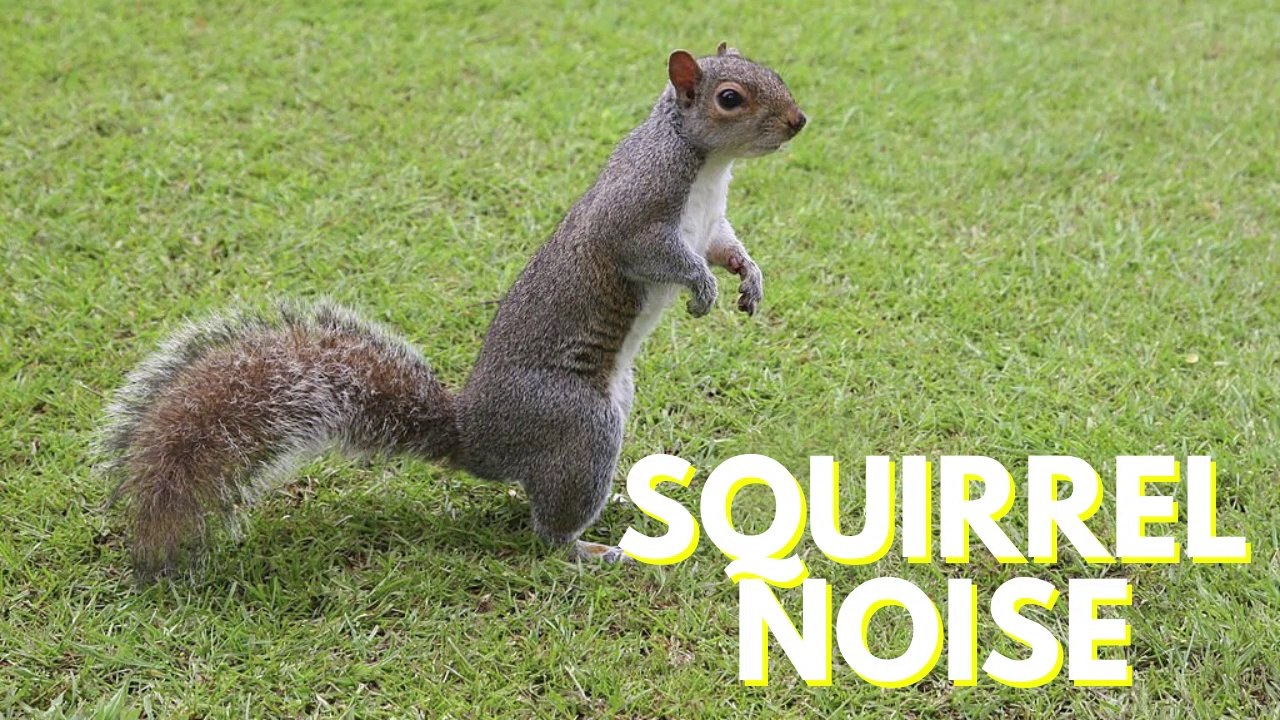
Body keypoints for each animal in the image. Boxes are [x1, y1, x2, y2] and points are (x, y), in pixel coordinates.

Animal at [98, 43, 806, 580]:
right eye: (731, 98)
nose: (798, 121)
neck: (705, 163)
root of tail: (476, 439)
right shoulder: (636, 216)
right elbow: (661, 254)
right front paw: (702, 289)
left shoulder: (711, 223)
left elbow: (726, 248)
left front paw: (748, 281)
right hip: (579, 421)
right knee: (547, 529)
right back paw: (587, 548)